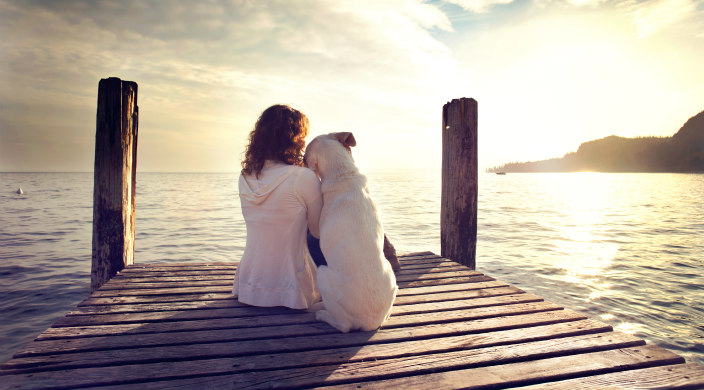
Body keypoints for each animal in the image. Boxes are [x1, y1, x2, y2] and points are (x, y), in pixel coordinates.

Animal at [306, 132, 398, 332]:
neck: (343, 174)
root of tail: (369, 323)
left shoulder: (317, 230)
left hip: (323, 273)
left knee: (343, 325)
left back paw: (323, 314)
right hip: (391, 275)